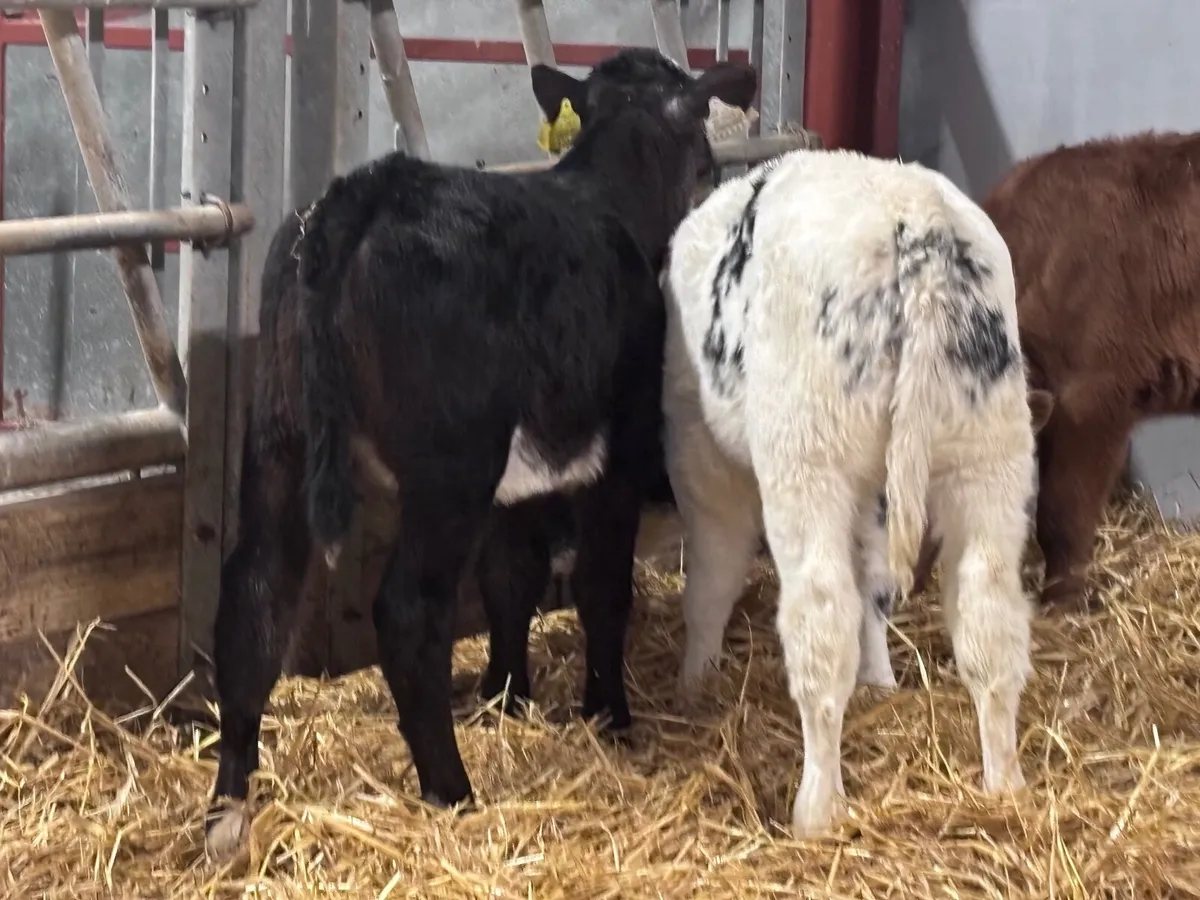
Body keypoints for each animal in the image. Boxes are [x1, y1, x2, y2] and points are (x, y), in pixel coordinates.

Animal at [203, 48, 758, 860]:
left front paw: (506, 695)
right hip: (451, 467)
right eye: (706, 155)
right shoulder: (617, 455)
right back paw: (452, 790)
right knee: (407, 611)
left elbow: (510, 579)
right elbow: (601, 586)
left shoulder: (516, 487)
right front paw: (609, 716)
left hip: (280, 435)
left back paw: (228, 809)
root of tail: (361, 195)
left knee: (255, 595)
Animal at [660, 148, 1054, 837]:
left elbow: (712, 575)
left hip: (806, 456)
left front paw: (694, 680)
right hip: (989, 450)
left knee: (822, 618)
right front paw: (880, 679)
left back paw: (817, 808)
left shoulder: (698, 450)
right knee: (988, 616)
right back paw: (1003, 787)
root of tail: (918, 219)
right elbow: (874, 581)